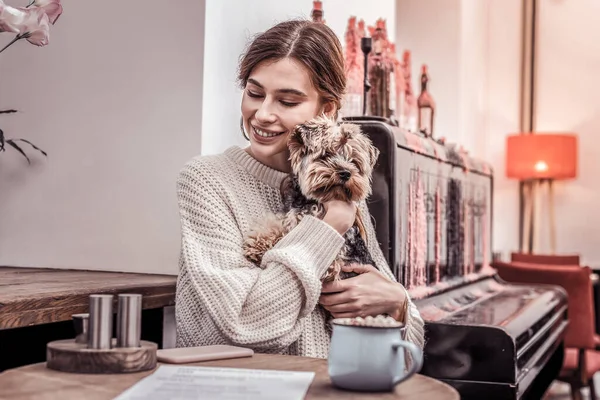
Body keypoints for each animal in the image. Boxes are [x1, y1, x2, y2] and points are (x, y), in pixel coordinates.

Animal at [243, 115, 380, 282]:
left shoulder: (334, 262)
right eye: (326, 154)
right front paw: (260, 240)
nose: (346, 173)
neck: (315, 201)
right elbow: (280, 225)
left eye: (354, 162)